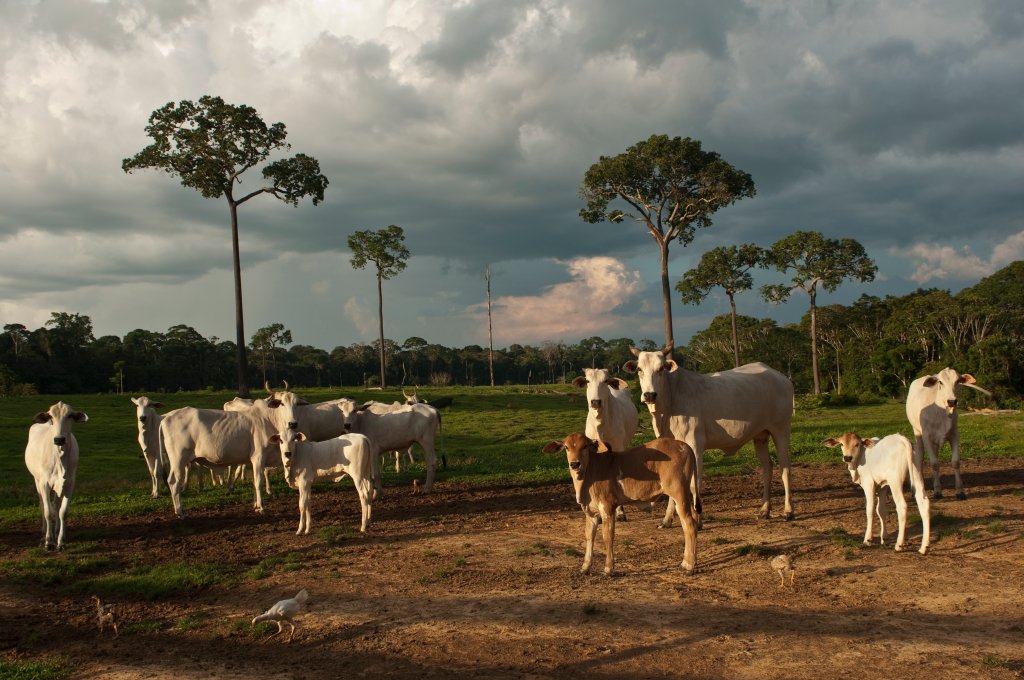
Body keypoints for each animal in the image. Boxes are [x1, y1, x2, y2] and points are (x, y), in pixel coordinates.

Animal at [24, 401, 88, 548]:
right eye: (51, 415)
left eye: (70, 415)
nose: (59, 439)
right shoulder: (44, 483)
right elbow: (48, 512)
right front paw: (48, 541)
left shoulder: (69, 483)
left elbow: (62, 512)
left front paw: (61, 541)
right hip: (37, 480)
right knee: (42, 503)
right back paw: (44, 531)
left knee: (57, 505)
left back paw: (57, 529)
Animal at [618, 342, 794, 522]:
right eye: (639, 369)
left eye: (661, 368)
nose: (650, 395)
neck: (670, 400)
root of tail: (780, 377)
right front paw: (667, 520)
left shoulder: (695, 445)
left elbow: (694, 484)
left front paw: (698, 519)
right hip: (760, 435)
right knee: (767, 467)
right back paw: (765, 509)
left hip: (781, 429)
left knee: (785, 467)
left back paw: (788, 510)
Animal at [905, 366, 991, 499]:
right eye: (940, 382)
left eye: (958, 381)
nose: (952, 401)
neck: (941, 411)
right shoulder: (927, 437)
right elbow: (934, 463)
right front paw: (937, 491)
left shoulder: (954, 435)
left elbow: (955, 462)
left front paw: (960, 491)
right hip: (917, 433)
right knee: (920, 457)